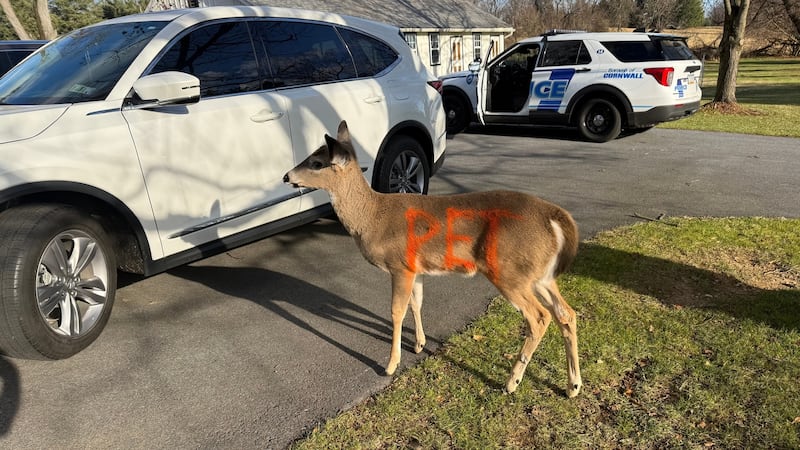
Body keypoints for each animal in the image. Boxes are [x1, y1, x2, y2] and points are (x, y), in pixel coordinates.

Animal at [283, 121, 582, 398]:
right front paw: (419, 344)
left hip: (509, 270)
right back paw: (573, 386)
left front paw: (391, 364)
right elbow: (417, 303)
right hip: (541, 275)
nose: (286, 176)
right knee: (566, 313)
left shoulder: (400, 265)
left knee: (540, 317)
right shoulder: (416, 268)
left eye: (317, 162)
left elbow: (396, 311)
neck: (372, 217)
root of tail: (555, 217)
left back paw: (512, 382)